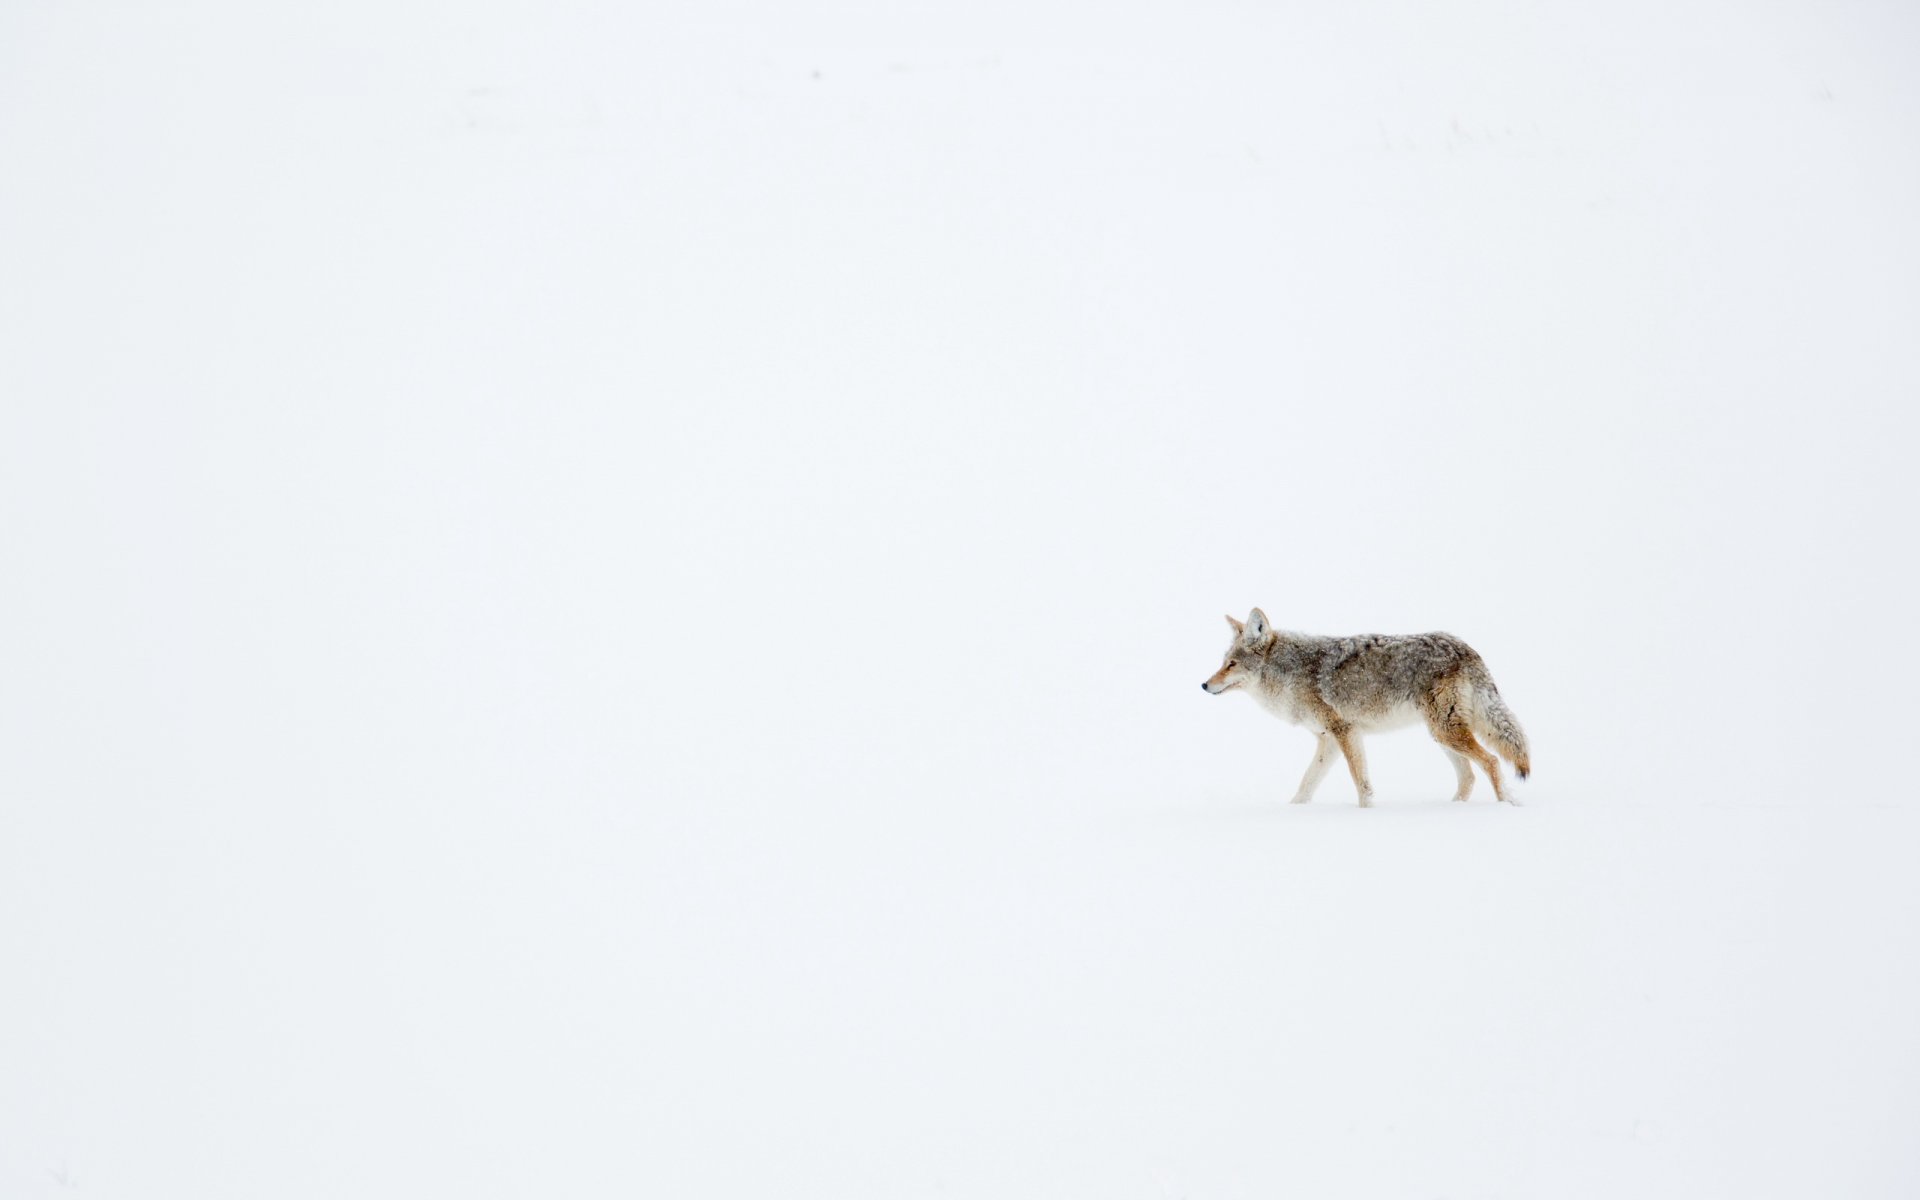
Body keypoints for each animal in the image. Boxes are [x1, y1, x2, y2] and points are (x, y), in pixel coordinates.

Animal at [1201, 609, 1531, 807]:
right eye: (1223, 662)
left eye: (1231, 664)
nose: (1204, 685)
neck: (1292, 672)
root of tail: (1464, 647)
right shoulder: (1328, 740)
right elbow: (1307, 781)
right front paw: (1294, 810)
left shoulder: (1345, 732)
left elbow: (1359, 780)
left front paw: (1366, 811)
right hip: (1441, 735)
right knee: (1469, 776)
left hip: (1446, 732)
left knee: (1491, 762)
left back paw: (1505, 804)